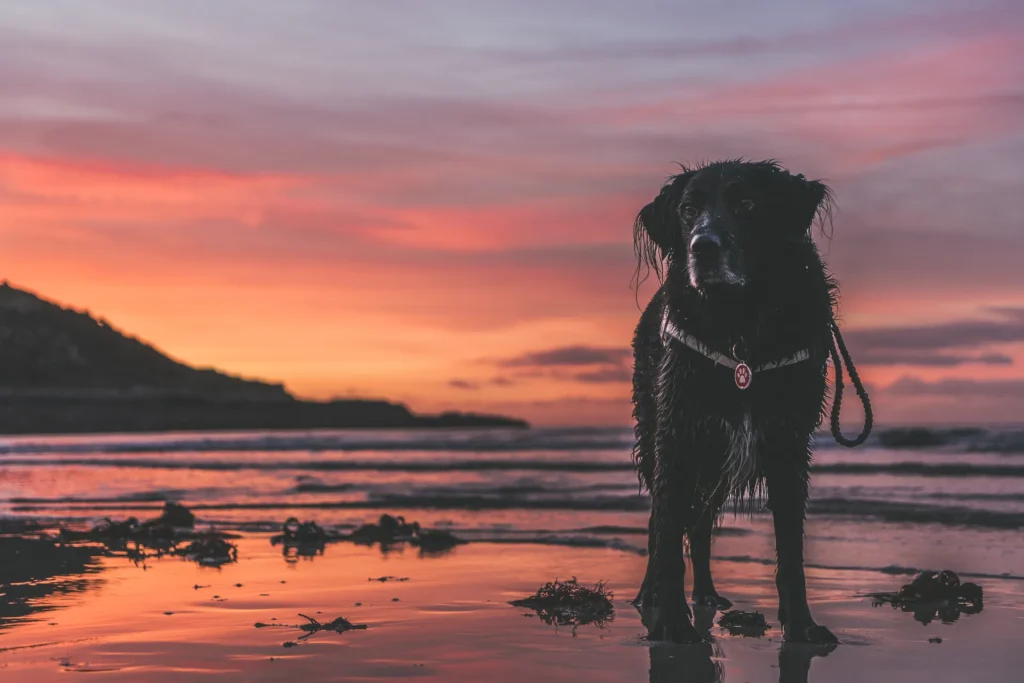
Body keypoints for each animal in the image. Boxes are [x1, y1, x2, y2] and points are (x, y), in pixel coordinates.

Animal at [626, 160, 868, 647]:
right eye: (688, 209)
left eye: (747, 204)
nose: (702, 246)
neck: (738, 323)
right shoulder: (678, 434)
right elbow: (667, 532)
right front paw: (671, 626)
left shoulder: (787, 443)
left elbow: (790, 550)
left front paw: (801, 626)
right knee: (663, 523)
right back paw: (650, 597)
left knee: (699, 525)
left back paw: (706, 594)